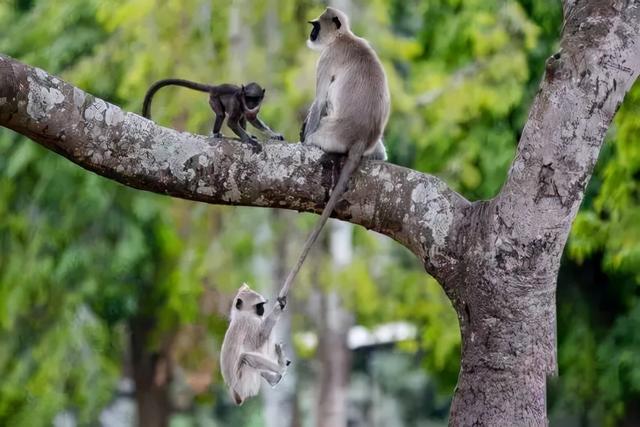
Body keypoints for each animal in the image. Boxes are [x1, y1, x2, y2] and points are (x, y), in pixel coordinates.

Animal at [146, 79, 286, 152]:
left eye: (255, 99)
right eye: (248, 98)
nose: (251, 104)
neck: (242, 99)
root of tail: (216, 87)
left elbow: (252, 119)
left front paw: (274, 134)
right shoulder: (236, 102)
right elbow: (231, 122)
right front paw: (249, 141)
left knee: (242, 118)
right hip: (214, 99)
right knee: (220, 115)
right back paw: (215, 133)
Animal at [280, 6, 390, 300]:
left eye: (316, 26)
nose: (311, 33)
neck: (345, 37)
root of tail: (360, 139)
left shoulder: (327, 58)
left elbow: (319, 99)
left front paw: (302, 141)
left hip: (330, 133)